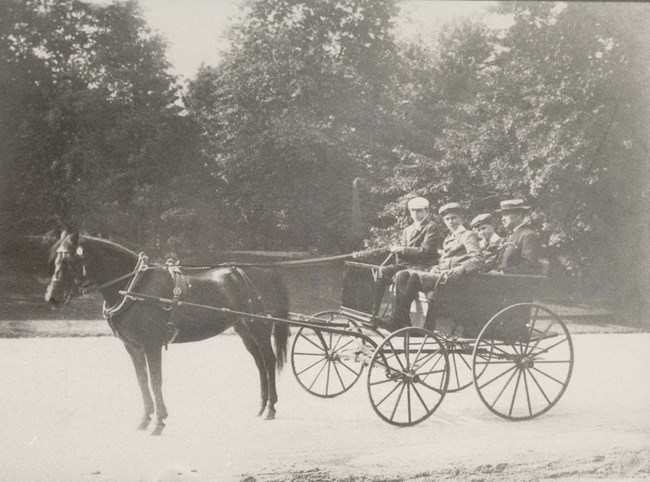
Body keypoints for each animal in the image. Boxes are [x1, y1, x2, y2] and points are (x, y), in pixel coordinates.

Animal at [43, 232, 288, 434]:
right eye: (55, 260)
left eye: (71, 261)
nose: (52, 297)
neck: (135, 287)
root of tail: (266, 272)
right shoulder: (133, 348)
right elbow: (142, 381)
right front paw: (144, 419)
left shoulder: (152, 346)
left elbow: (155, 381)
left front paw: (159, 422)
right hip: (244, 328)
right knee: (259, 362)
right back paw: (262, 406)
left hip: (259, 327)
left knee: (268, 360)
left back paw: (270, 409)